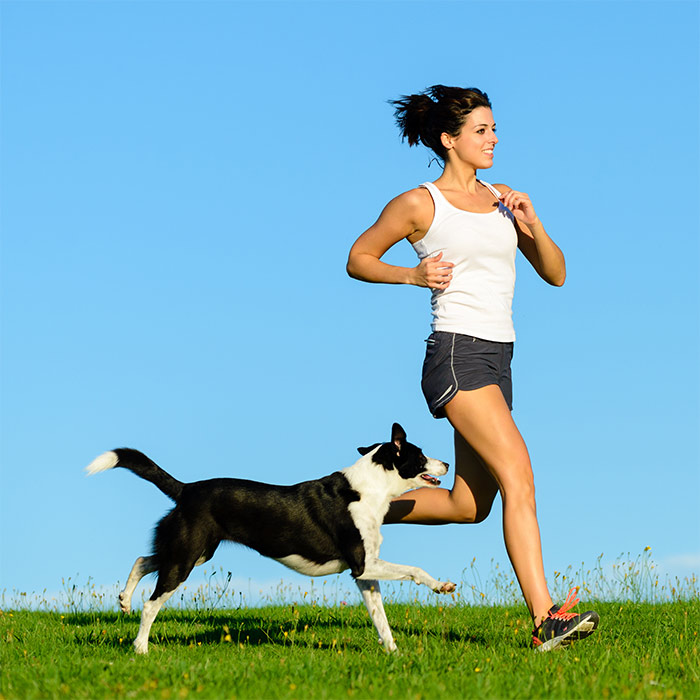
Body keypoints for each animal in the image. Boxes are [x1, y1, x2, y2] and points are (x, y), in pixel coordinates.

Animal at [85, 424, 456, 652]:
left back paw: (124, 600)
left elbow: (381, 619)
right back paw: (140, 648)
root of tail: (186, 489)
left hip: (194, 551)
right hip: (186, 557)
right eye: (421, 454)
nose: (448, 464)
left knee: (143, 560)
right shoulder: (363, 565)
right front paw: (442, 586)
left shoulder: (364, 575)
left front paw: (394, 653)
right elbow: (415, 569)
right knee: (152, 603)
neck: (368, 490)